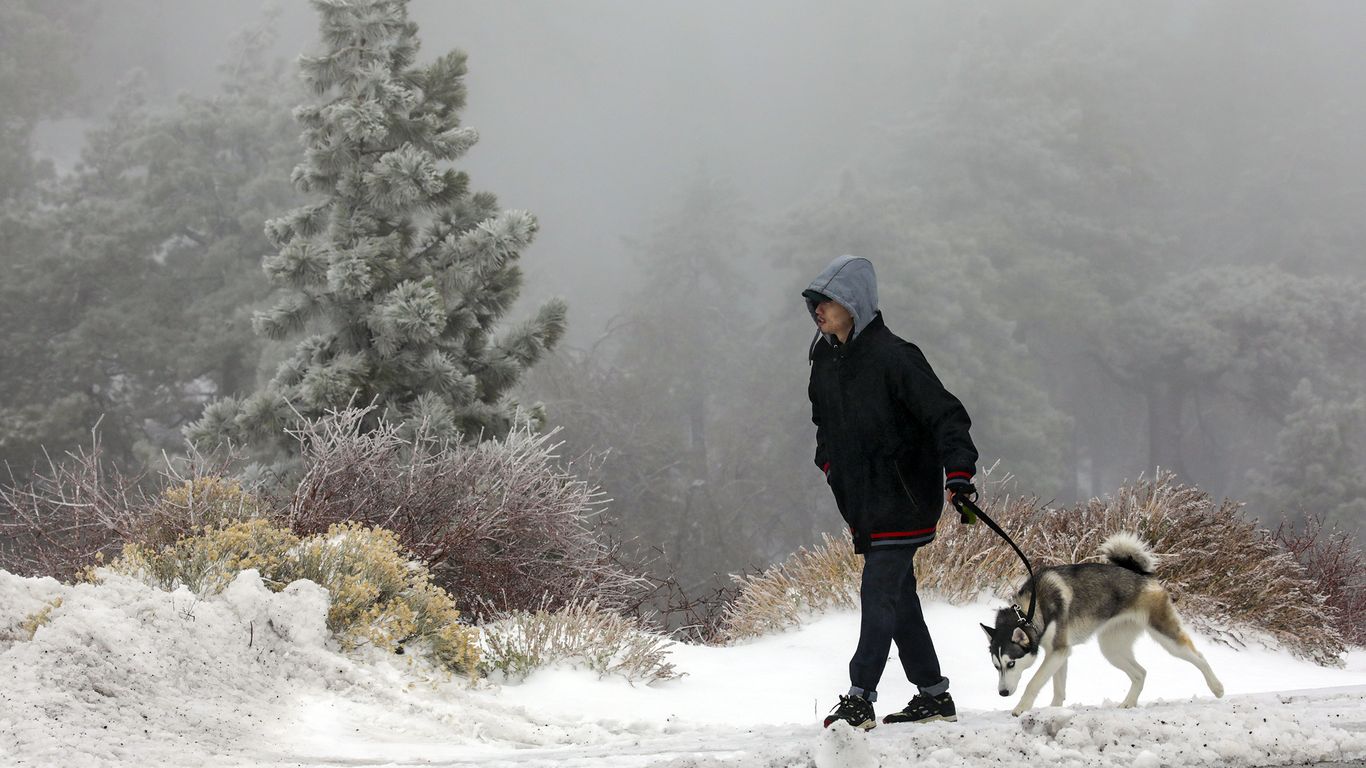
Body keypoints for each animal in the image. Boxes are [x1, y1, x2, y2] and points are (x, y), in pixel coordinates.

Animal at [983, 530, 1229, 716]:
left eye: (1011, 664)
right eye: (996, 666)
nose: (1002, 693)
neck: (1032, 608)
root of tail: (1143, 576)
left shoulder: (1058, 651)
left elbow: (1034, 682)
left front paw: (1021, 708)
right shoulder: (1059, 652)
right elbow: (1058, 689)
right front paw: (1054, 711)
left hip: (1166, 637)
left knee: (1199, 657)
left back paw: (1217, 688)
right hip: (1112, 648)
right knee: (1141, 673)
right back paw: (1129, 703)